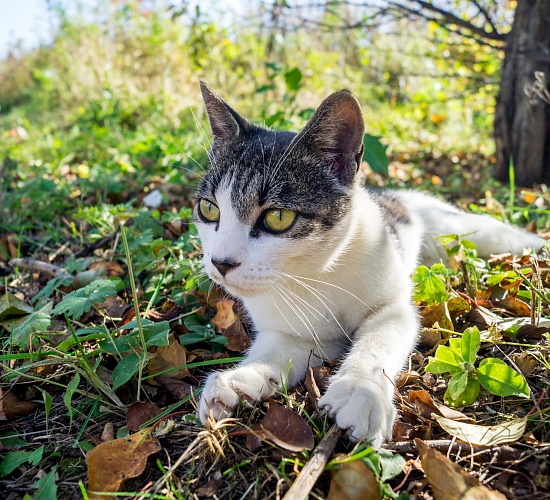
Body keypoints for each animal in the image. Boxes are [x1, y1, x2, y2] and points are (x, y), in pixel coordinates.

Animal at [193, 83, 544, 450]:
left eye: (278, 217)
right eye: (208, 209)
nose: (220, 263)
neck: (315, 275)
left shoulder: (394, 308)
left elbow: (378, 340)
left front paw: (360, 391)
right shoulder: (297, 332)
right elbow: (276, 350)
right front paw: (239, 379)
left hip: (469, 232)